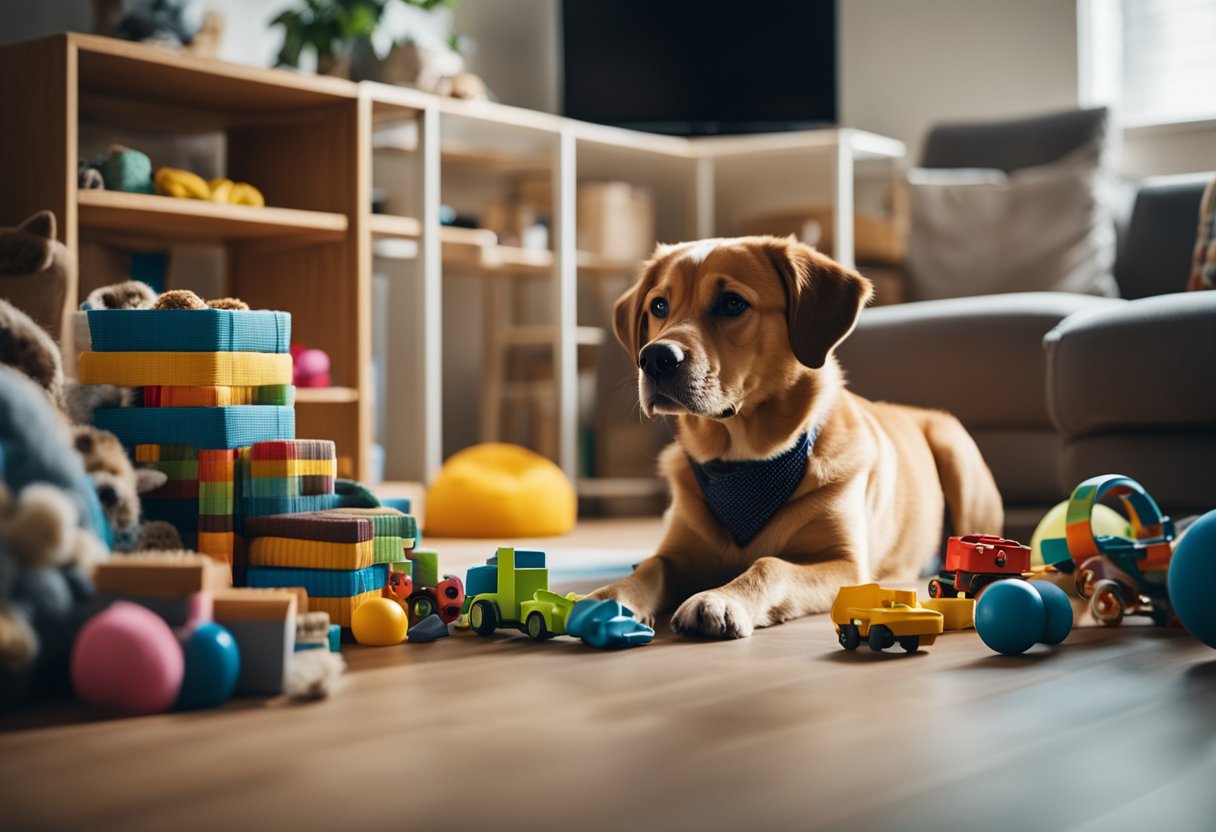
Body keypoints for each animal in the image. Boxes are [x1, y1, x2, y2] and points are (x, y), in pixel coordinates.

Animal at [586, 237, 997, 642]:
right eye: (659, 305)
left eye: (732, 303)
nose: (654, 358)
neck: (742, 464)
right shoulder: (679, 553)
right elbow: (650, 566)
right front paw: (606, 598)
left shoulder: (846, 564)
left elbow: (770, 565)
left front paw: (721, 598)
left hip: (955, 451)